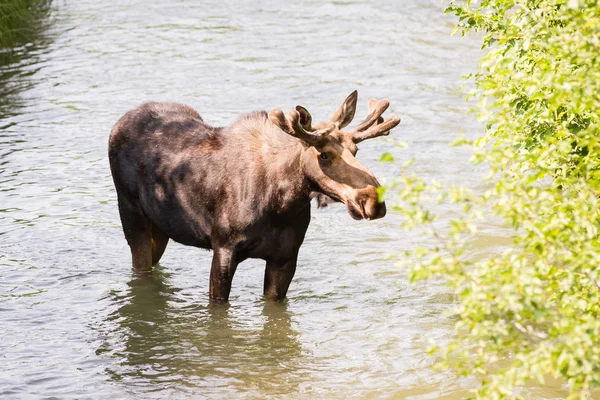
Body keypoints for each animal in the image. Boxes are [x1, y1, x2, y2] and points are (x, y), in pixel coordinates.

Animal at [110, 91, 400, 304]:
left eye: (355, 150)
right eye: (324, 155)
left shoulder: (286, 257)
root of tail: (119, 123)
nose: (373, 201)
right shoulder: (224, 248)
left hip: (161, 227)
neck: (282, 204)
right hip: (131, 214)